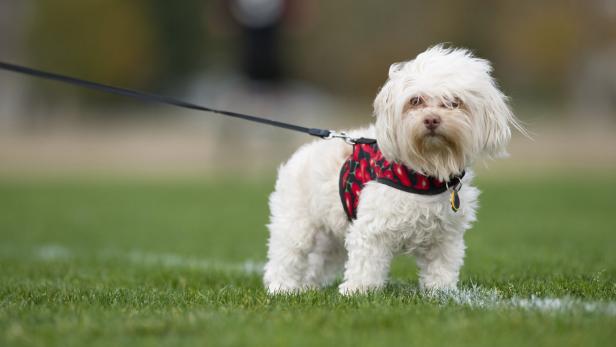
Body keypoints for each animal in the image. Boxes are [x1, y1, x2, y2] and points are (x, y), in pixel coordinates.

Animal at [262, 43, 524, 294]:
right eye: (415, 101)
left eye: (453, 102)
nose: (431, 119)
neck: (425, 171)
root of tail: (300, 154)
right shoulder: (371, 229)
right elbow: (365, 264)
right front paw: (358, 291)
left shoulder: (446, 237)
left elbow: (441, 267)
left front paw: (442, 292)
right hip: (296, 225)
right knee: (286, 258)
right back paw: (282, 288)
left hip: (331, 238)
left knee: (317, 263)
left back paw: (307, 287)